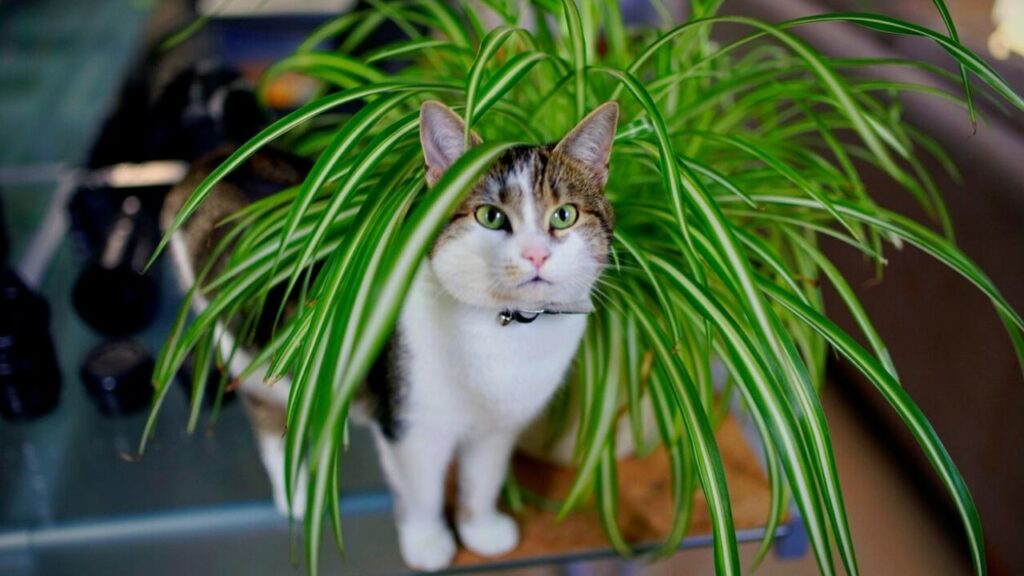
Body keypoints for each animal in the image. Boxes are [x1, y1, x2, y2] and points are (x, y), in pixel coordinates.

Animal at [163, 99, 618, 569]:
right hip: (244, 355)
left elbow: (482, 480)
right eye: (491, 217)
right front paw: (428, 543)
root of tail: (213, 160)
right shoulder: (410, 426)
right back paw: (298, 496)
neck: (507, 333)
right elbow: (422, 492)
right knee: (269, 421)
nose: (536, 254)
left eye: (564, 215)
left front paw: (480, 531)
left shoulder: (498, 428)